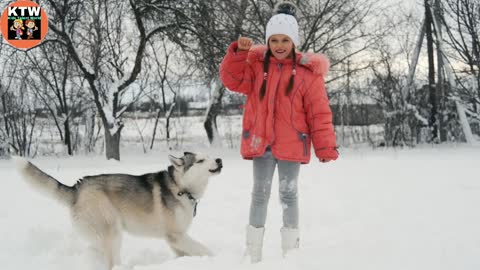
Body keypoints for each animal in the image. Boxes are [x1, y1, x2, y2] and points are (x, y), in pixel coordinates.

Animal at [13, 153, 222, 268]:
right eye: (200, 160)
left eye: (210, 156)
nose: (219, 159)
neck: (180, 186)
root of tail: (77, 188)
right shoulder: (176, 235)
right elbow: (205, 250)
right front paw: (217, 258)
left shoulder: (175, 239)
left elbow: (185, 253)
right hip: (112, 228)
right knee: (111, 262)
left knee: (98, 251)